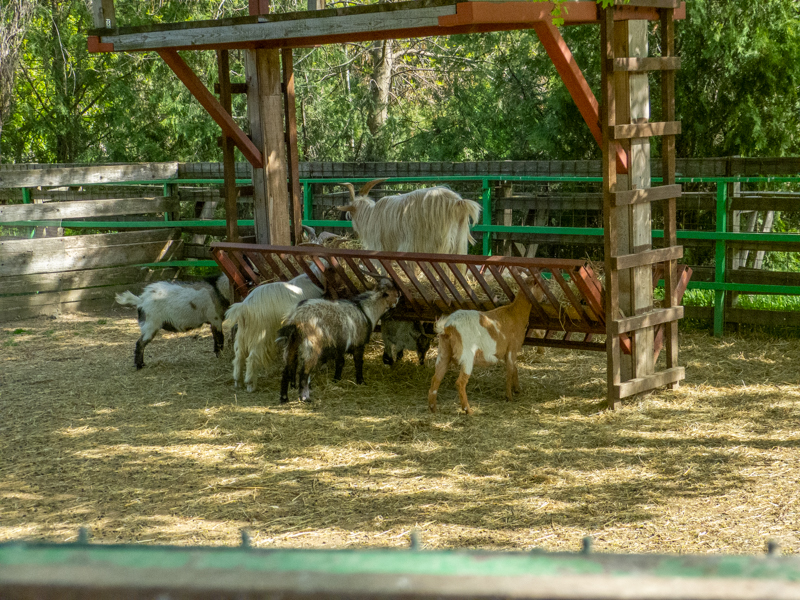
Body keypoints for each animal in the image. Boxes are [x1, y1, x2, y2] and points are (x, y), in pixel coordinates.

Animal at [278, 273, 400, 404]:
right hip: (311, 345)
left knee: (286, 369)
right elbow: (358, 363)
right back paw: (305, 398)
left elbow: (340, 362)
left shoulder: (340, 345)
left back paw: (284, 398)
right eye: (394, 293)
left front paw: (336, 379)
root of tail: (296, 317)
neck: (366, 311)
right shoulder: (358, 344)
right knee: (304, 372)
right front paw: (361, 381)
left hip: (291, 344)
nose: (400, 295)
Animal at [337, 179, 481, 257]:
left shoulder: (381, 245)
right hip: (459, 243)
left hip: (436, 244)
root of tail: (457, 202)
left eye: (349, 214)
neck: (370, 216)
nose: (353, 233)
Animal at [426, 274, 545, 415]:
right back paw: (468, 410)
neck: (515, 314)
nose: (544, 298)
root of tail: (448, 327)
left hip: (443, 352)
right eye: (542, 284)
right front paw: (509, 396)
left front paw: (517, 389)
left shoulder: (510, 351)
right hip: (467, 356)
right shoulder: (511, 348)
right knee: (460, 383)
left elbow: (514, 369)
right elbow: (510, 371)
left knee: (436, 379)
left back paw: (433, 408)